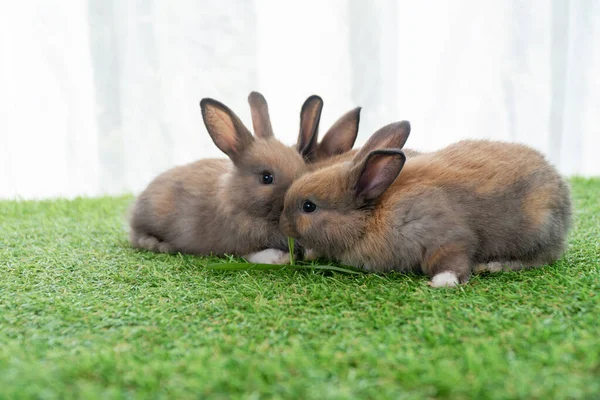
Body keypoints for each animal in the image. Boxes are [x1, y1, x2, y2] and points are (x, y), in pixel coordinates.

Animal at [282, 122, 572, 288]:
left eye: (309, 207)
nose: (282, 223)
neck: (372, 214)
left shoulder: (444, 234)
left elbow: (452, 258)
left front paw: (443, 282)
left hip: (536, 232)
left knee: (539, 259)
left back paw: (494, 265)